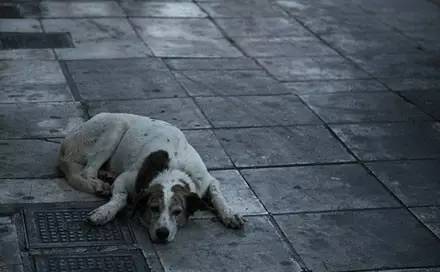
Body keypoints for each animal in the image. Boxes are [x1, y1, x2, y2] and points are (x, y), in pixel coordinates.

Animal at [56, 112, 244, 242]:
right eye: (153, 208)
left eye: (177, 212)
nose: (162, 233)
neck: (173, 168)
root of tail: (68, 139)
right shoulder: (127, 178)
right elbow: (120, 197)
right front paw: (105, 212)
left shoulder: (206, 180)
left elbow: (217, 194)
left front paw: (229, 213)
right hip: (114, 127)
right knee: (87, 172)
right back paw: (99, 185)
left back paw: (106, 174)